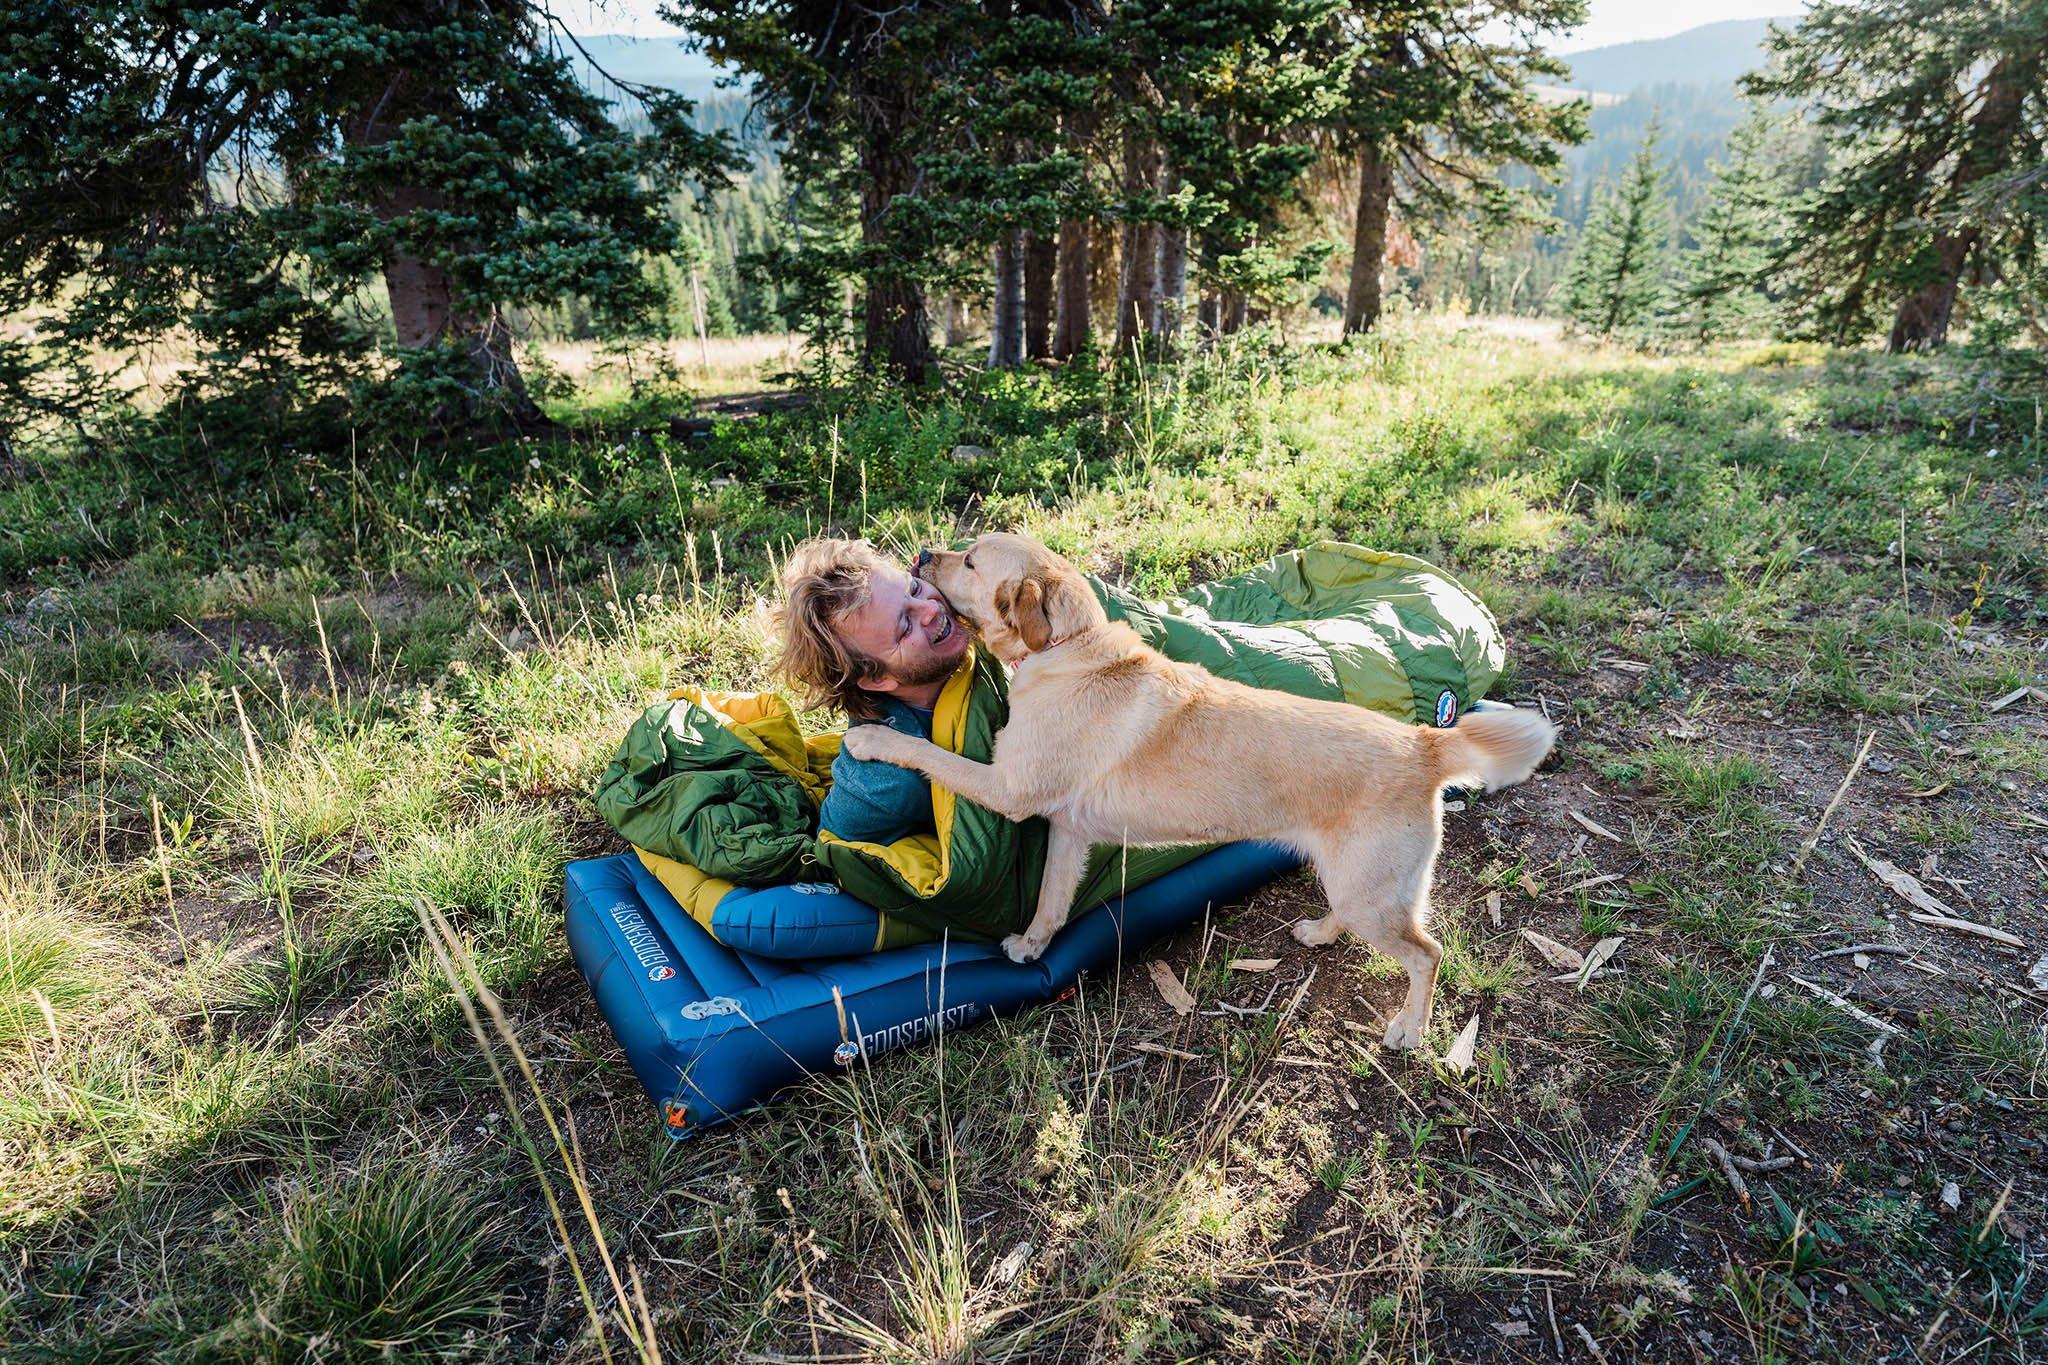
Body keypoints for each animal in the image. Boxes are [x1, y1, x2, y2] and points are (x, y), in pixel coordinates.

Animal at [839, 532, 1556, 1047]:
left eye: (970, 560)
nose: (920, 554)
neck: (1068, 647)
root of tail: (1422, 743)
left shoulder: (1009, 789)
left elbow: (926, 753)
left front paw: (870, 740)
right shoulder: (1068, 834)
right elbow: (1048, 902)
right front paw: (1035, 947)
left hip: (1374, 898)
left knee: (1427, 954)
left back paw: (1410, 1026)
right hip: (1356, 884)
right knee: (1361, 921)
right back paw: (1320, 933)